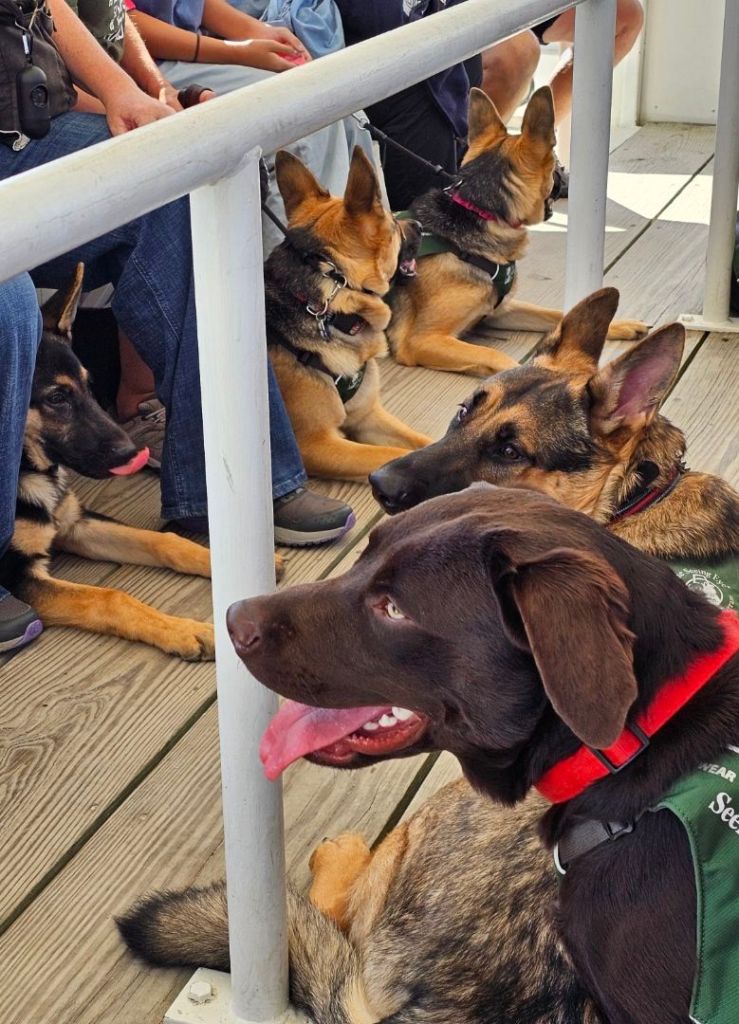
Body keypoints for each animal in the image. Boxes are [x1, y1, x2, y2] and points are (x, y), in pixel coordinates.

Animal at [1, 265, 216, 660]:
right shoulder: (19, 574)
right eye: (56, 398)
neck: (28, 468)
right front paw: (181, 629)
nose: (133, 453)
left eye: (90, 386)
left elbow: (163, 541)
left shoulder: (76, 524)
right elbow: (110, 598)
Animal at [266, 147, 430, 481]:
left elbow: (426, 442)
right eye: (393, 224)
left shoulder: (368, 416)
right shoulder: (317, 446)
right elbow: (391, 456)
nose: (420, 225)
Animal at [387, 87, 646, 377]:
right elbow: (494, 356)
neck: (478, 211)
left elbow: (557, 314)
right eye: (554, 164)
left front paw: (617, 324)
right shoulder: (422, 340)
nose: (563, 177)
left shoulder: (501, 311)